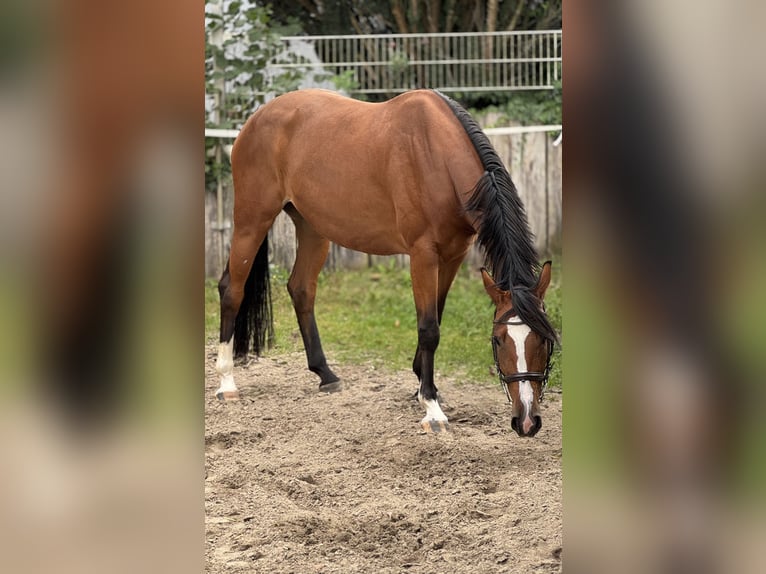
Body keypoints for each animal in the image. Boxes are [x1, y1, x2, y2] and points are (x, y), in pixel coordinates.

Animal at [214, 88, 558, 437]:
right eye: (498, 340)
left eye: (545, 339)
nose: (526, 421)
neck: (437, 158)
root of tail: (255, 119)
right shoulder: (423, 255)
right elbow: (429, 328)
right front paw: (431, 407)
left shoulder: (453, 256)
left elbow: (436, 316)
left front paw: (424, 385)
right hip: (252, 219)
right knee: (232, 289)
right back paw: (227, 383)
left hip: (312, 227)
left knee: (301, 289)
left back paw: (326, 374)